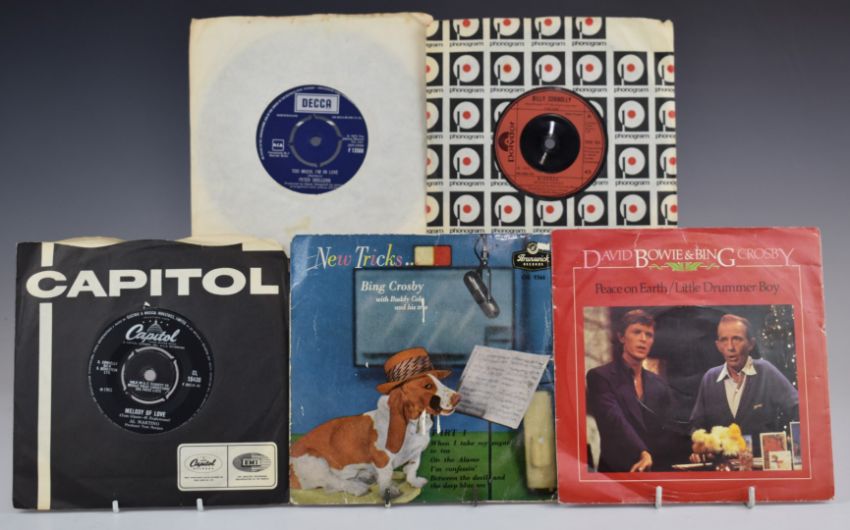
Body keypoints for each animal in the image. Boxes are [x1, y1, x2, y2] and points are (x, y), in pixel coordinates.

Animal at [290, 348, 460, 499]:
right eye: (427, 386)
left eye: (439, 381)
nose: (458, 397)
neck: (413, 427)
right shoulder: (383, 460)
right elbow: (386, 477)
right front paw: (389, 491)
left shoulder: (416, 454)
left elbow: (412, 469)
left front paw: (414, 482)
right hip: (316, 461)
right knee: (333, 482)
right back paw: (357, 487)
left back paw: (365, 476)